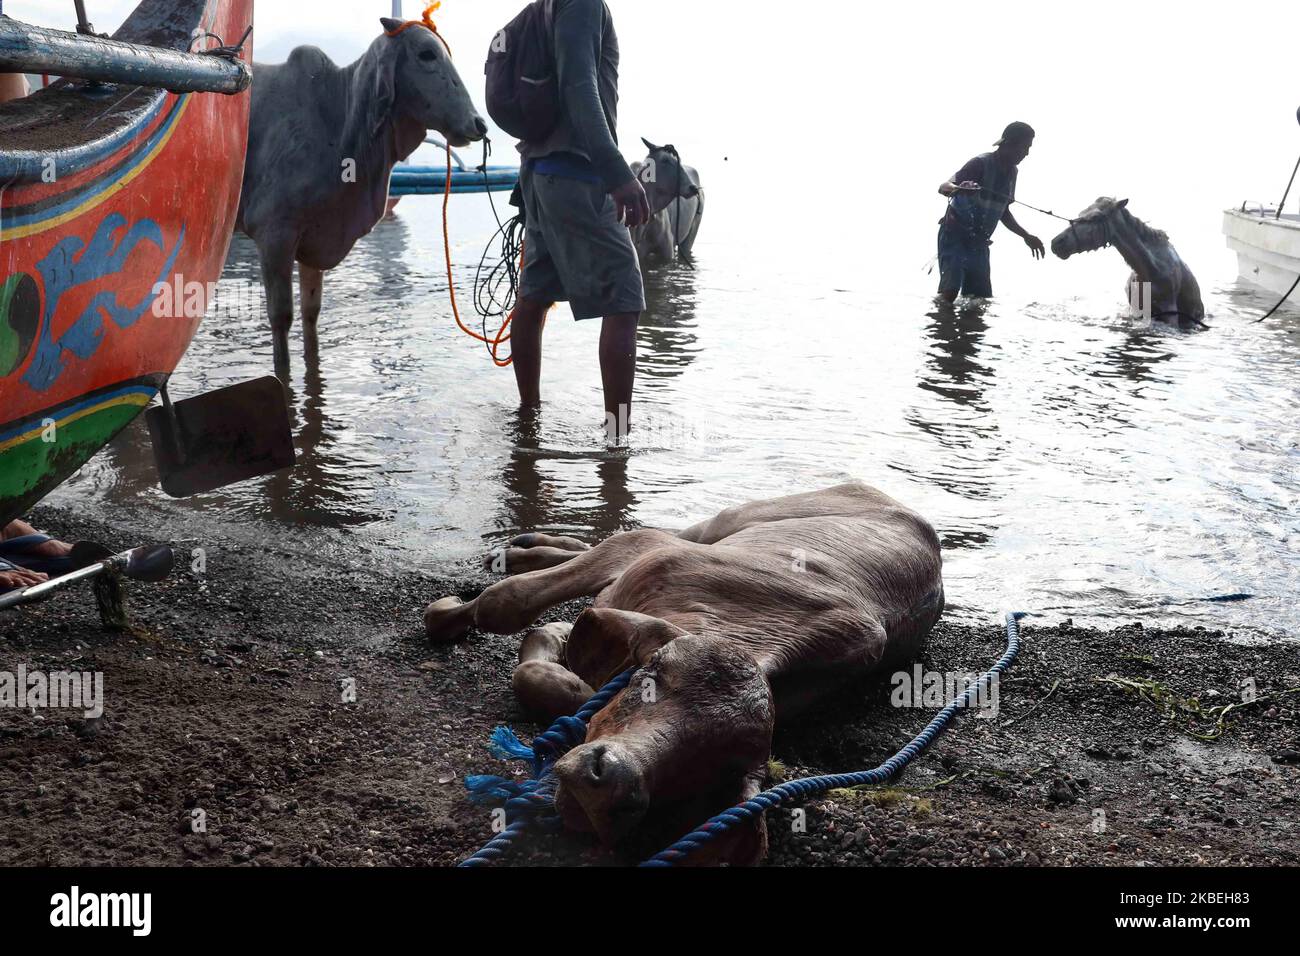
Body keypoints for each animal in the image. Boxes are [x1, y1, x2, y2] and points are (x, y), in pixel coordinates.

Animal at [237, 19, 488, 369]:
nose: (479, 124)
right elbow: (281, 318)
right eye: (426, 54)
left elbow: (311, 314)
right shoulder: (274, 234)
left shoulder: (316, 239)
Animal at [426, 481, 946, 863]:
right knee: (638, 532)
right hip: (736, 518)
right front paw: (449, 613)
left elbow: (550, 666)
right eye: (655, 673)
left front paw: (559, 665)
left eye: (711, 769)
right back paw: (525, 549)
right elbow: (504, 602)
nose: (610, 785)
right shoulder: (645, 554)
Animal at [1050, 197, 1201, 325]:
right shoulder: (1136, 310)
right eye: (1081, 213)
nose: (1056, 242)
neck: (1151, 269)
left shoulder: (1169, 312)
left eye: (1096, 217)